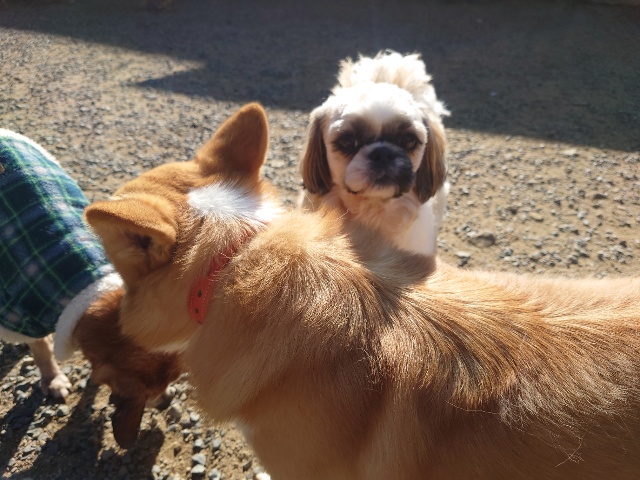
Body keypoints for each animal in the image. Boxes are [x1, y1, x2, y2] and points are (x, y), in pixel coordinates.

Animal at [0, 129, 180, 448]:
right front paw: (52, 379)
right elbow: (41, 348)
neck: (88, 285)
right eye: (148, 395)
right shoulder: (20, 311)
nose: (168, 402)